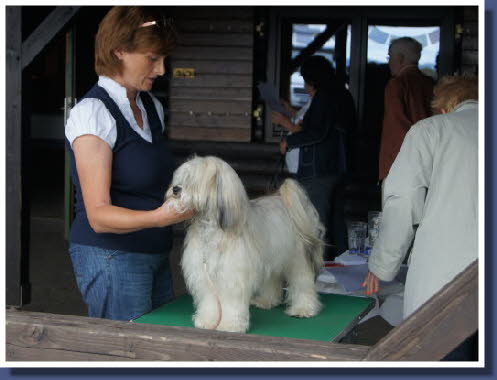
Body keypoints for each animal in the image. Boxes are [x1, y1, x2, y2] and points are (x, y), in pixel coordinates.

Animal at [165, 154, 324, 332]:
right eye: (181, 179)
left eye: (193, 180)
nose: (175, 189)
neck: (211, 228)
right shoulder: (205, 275)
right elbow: (210, 302)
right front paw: (208, 320)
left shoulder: (232, 275)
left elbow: (231, 304)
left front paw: (229, 325)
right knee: (273, 279)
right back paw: (266, 301)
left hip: (297, 259)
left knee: (302, 281)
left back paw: (304, 308)